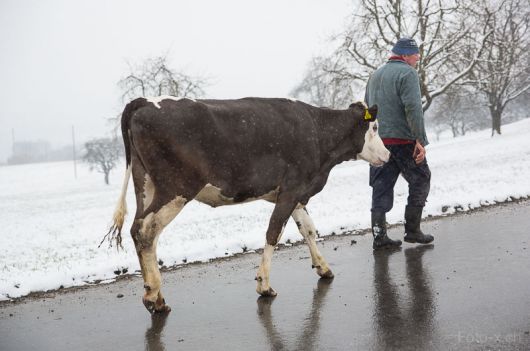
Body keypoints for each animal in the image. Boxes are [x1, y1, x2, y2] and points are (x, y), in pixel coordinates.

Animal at [106, 95, 388, 314]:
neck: (318, 133)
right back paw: (154, 297)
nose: (387, 154)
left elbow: (308, 229)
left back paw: (156, 296)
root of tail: (144, 101)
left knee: (140, 231)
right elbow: (274, 232)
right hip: (176, 189)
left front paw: (323, 268)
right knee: (146, 231)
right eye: (374, 127)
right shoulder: (292, 189)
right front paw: (264, 285)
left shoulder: (296, 193)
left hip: (145, 185)